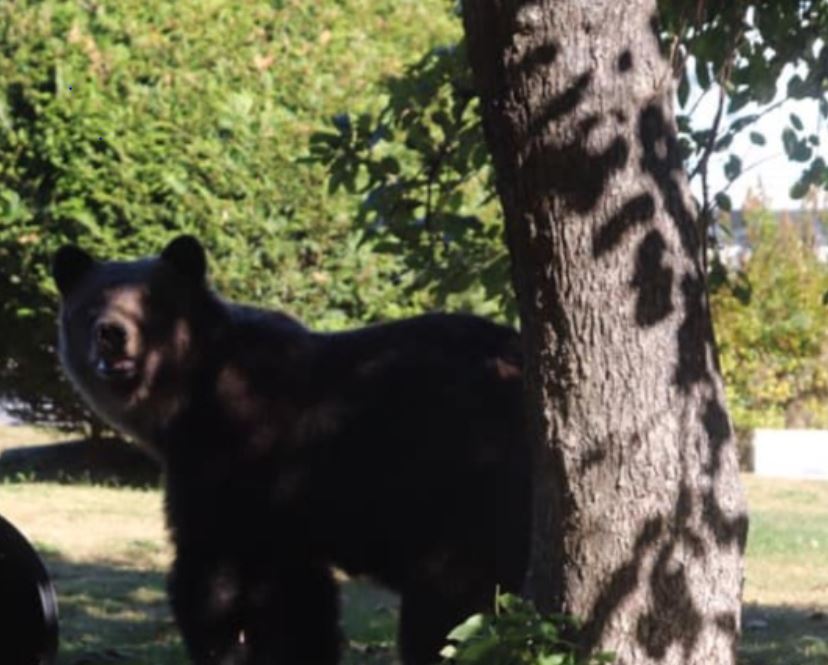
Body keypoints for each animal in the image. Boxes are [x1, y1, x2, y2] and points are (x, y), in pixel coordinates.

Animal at [53, 235, 532, 665]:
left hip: (465, 486)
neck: (188, 401)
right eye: (92, 303)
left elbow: (228, 574)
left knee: (446, 605)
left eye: (152, 301)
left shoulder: (245, 459)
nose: (112, 333)